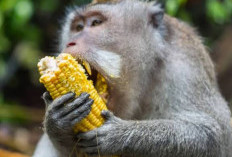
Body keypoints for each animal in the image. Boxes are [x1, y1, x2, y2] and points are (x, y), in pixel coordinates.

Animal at [32, 0, 232, 157]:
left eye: (96, 22)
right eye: (78, 27)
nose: (70, 42)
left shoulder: (184, 67)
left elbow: (213, 135)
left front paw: (120, 135)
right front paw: (56, 122)